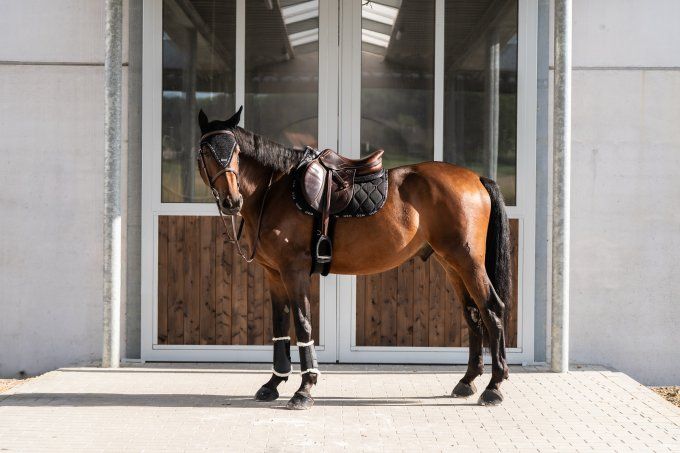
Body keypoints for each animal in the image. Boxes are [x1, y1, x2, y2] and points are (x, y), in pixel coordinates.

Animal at [195, 107, 512, 410]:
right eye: (207, 152)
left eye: (236, 152)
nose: (231, 201)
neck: (275, 191)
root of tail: (476, 178)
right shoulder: (273, 274)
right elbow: (280, 326)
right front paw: (273, 384)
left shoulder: (293, 272)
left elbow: (302, 323)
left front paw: (304, 390)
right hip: (451, 264)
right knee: (472, 314)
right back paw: (467, 381)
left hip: (468, 262)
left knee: (491, 309)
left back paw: (494, 387)